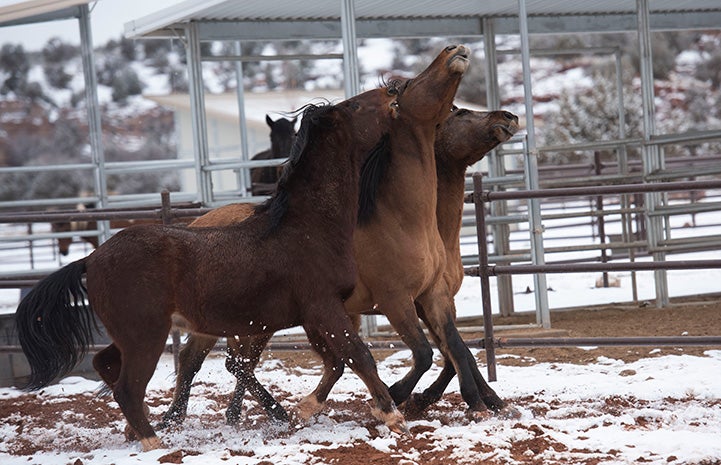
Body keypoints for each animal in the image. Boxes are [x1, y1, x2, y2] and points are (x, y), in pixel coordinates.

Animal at [16, 93, 410, 450]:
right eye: (355, 106)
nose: (393, 90)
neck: (307, 227)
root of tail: (91, 258)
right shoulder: (323, 308)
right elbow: (358, 356)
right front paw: (393, 417)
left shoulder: (316, 315)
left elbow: (337, 362)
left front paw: (303, 410)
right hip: (146, 336)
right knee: (129, 387)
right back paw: (153, 442)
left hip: (134, 336)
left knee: (108, 364)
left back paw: (139, 429)